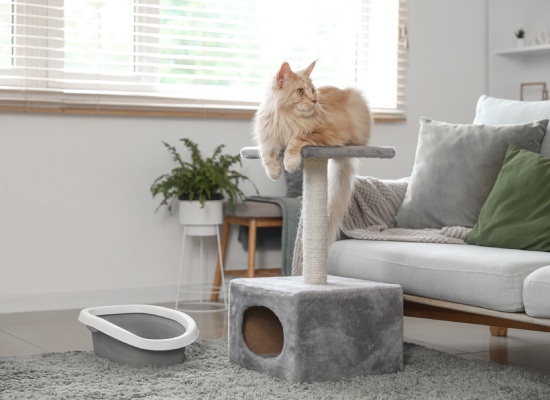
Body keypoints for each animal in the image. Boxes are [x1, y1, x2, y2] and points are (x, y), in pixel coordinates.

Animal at [254, 61, 376, 242]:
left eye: (312, 90)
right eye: (300, 91)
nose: (314, 100)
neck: (286, 119)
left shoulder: (327, 133)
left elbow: (297, 139)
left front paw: (290, 162)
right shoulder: (267, 136)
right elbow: (266, 154)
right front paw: (274, 172)